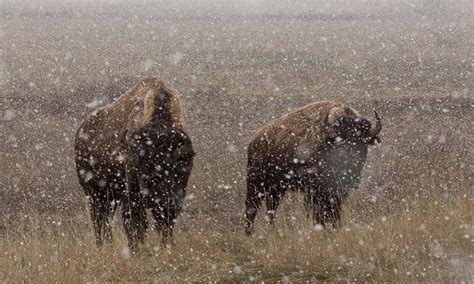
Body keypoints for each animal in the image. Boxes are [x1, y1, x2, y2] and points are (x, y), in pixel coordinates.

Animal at [74, 78, 193, 251]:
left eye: (179, 163)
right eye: (143, 165)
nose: (162, 199)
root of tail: (80, 131)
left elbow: (165, 225)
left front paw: (166, 246)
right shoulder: (132, 195)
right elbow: (135, 224)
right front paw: (135, 249)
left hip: (111, 195)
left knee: (107, 218)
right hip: (93, 191)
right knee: (98, 220)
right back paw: (101, 247)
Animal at [244, 101, 382, 234]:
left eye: (362, 142)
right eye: (341, 141)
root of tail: (253, 140)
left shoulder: (337, 191)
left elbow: (334, 212)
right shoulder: (315, 190)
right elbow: (318, 213)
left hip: (277, 189)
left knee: (270, 209)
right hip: (256, 183)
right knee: (251, 208)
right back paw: (249, 233)